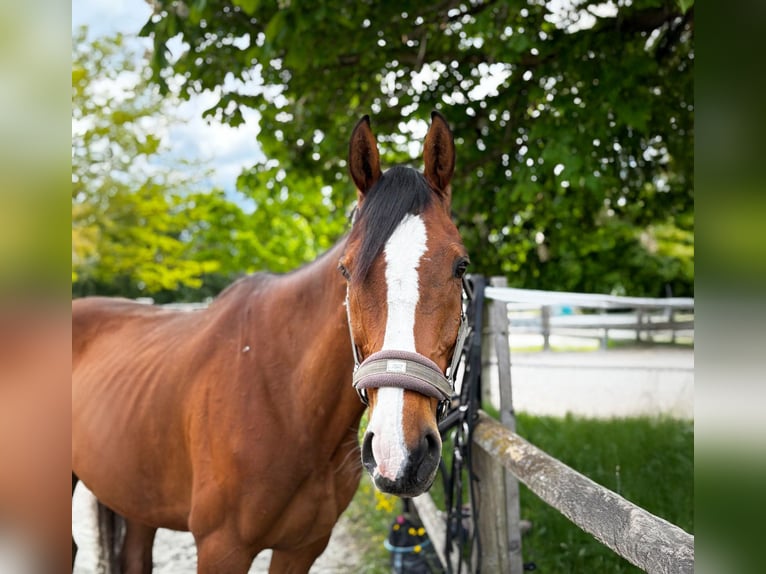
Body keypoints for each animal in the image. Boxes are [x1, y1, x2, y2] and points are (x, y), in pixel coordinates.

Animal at [72, 111, 468, 573]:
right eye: (347, 270)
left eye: (461, 266)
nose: (399, 452)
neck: (288, 403)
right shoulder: (220, 549)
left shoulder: (302, 548)